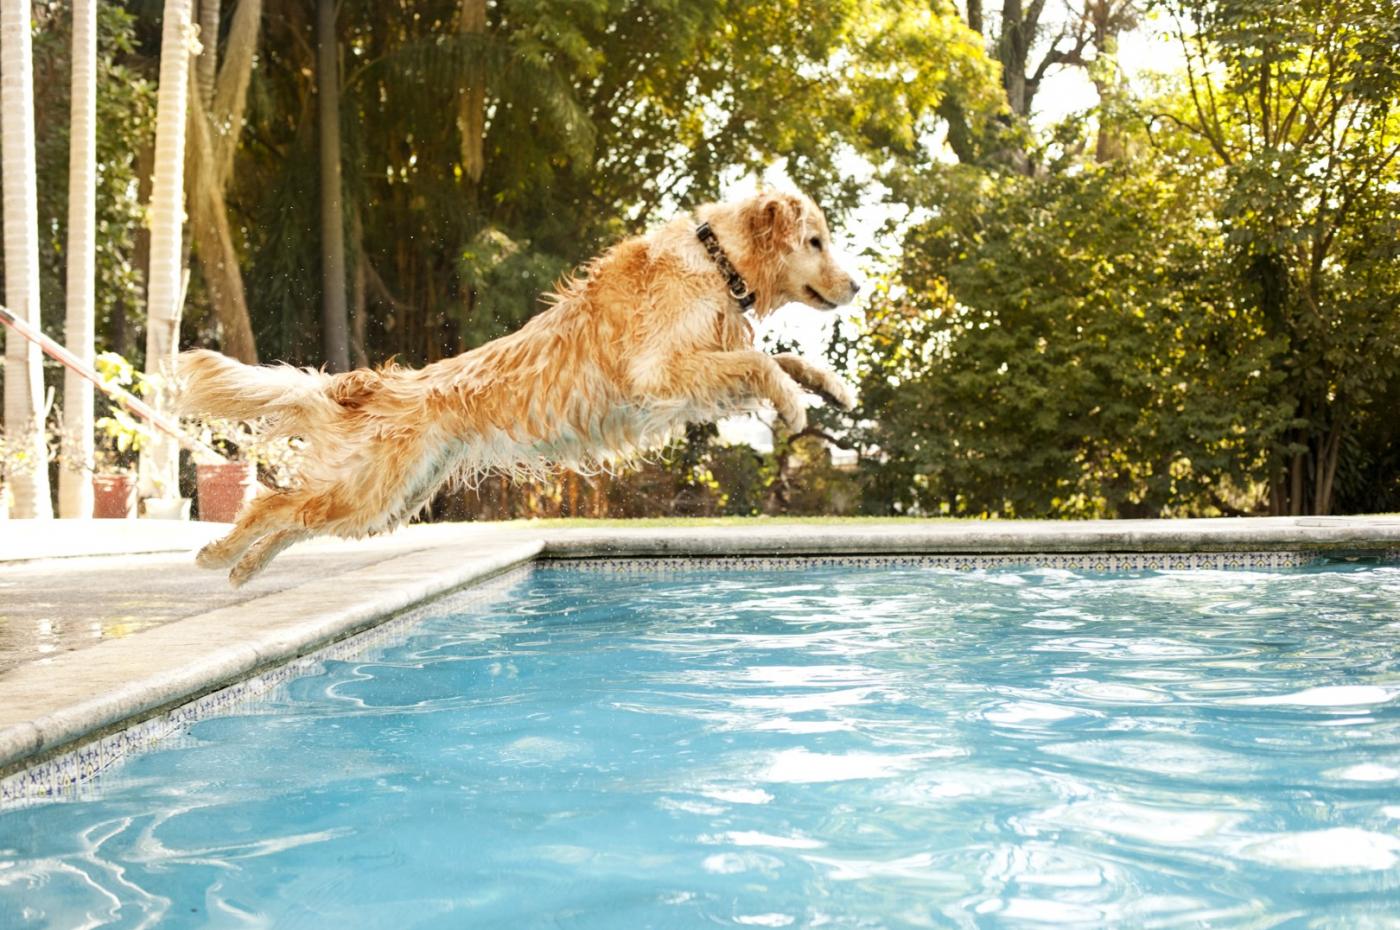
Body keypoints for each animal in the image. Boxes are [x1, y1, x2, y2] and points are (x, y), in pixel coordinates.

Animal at [180, 187, 856, 582]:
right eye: (816, 241)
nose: (856, 286)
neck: (717, 263)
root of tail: (376, 384)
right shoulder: (660, 374)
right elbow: (764, 364)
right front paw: (795, 405)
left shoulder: (702, 369)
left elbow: (778, 356)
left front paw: (833, 388)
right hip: (368, 490)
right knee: (271, 504)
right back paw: (219, 556)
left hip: (384, 501)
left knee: (295, 517)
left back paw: (243, 569)